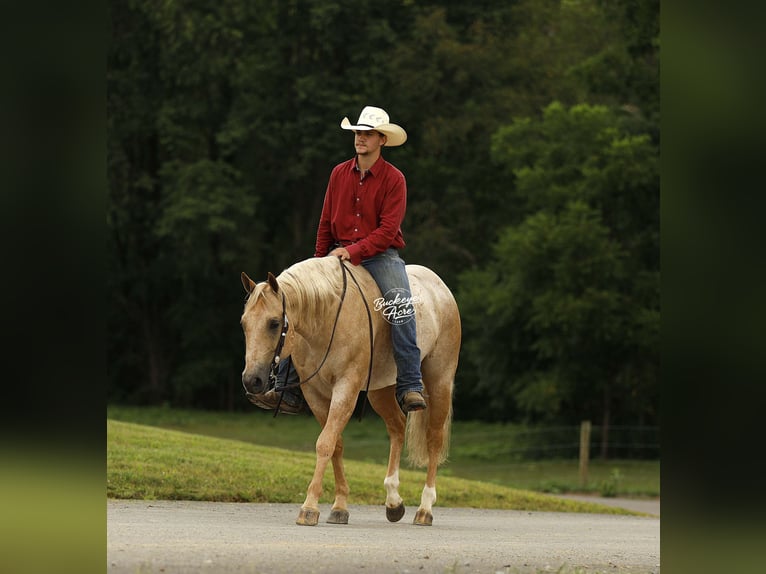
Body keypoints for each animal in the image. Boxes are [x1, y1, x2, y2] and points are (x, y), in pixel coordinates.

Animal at [240, 256, 461, 526]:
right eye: (244, 324)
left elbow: (325, 443)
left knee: (434, 439)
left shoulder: (346, 386)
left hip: (439, 380)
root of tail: (441, 287)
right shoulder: (315, 392)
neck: (326, 318)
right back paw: (393, 501)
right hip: (380, 390)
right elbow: (335, 443)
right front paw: (339, 507)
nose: (252, 381)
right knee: (397, 427)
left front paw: (309, 507)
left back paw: (425, 509)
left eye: (273, 323)